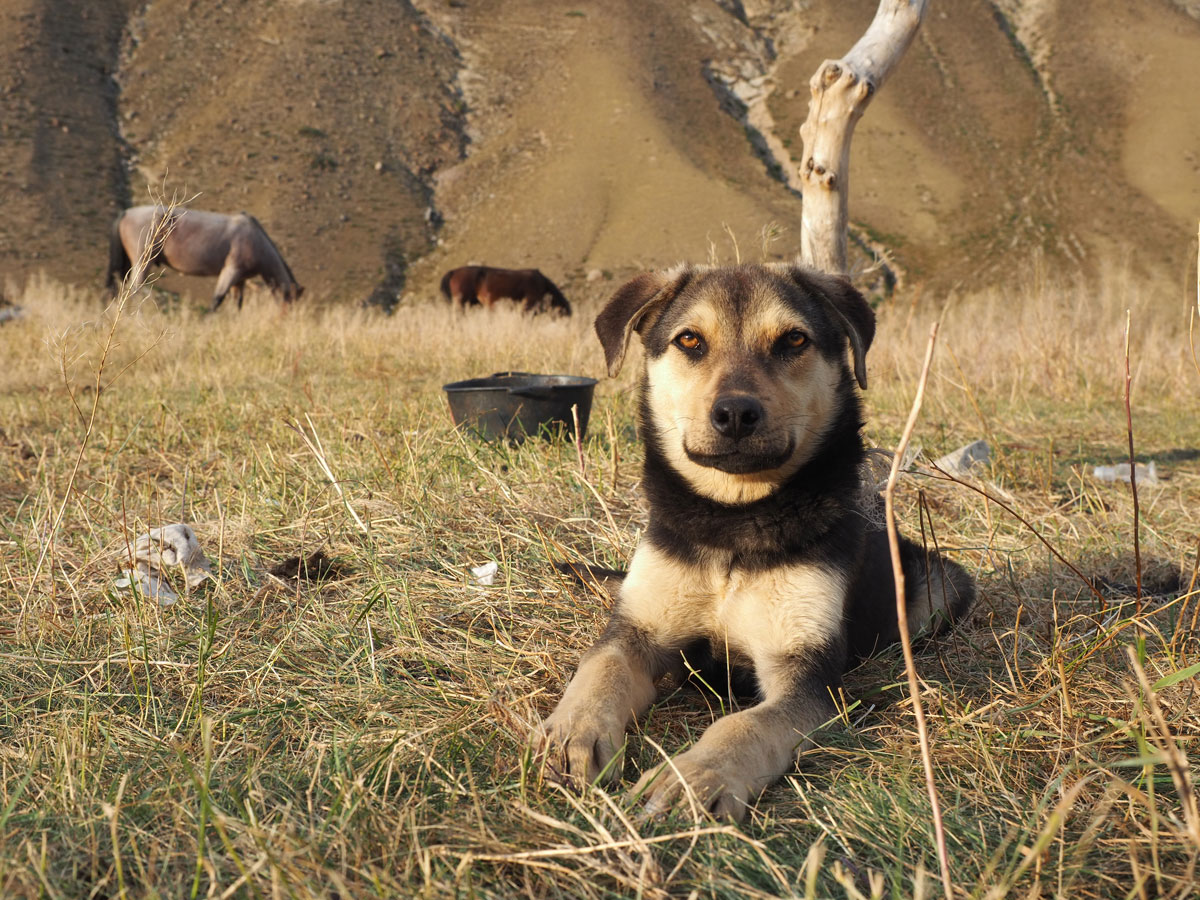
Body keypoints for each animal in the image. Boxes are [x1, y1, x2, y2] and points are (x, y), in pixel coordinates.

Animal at [106, 207, 304, 312]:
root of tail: (126, 213)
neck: (254, 238)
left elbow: (237, 304)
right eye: (290, 304)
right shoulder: (230, 271)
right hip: (143, 262)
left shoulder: (239, 281)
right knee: (135, 290)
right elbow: (217, 300)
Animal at [532, 262, 974, 825]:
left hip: (943, 586)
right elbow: (600, 669)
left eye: (794, 340)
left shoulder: (806, 673)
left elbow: (745, 724)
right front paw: (572, 732)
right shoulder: (639, 629)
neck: (735, 517)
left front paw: (693, 777)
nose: (736, 414)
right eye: (689, 340)